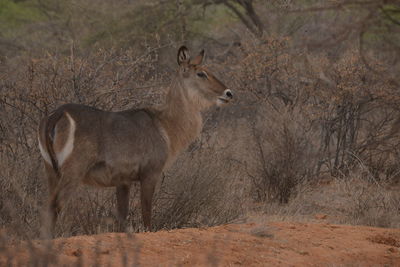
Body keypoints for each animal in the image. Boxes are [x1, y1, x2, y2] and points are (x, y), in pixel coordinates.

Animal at [39, 46, 233, 239]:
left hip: (51, 171)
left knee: (48, 206)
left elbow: (122, 216)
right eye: (201, 73)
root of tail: (58, 114)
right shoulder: (150, 174)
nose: (228, 93)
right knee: (55, 205)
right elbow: (146, 213)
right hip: (73, 171)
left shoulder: (123, 181)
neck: (164, 124)